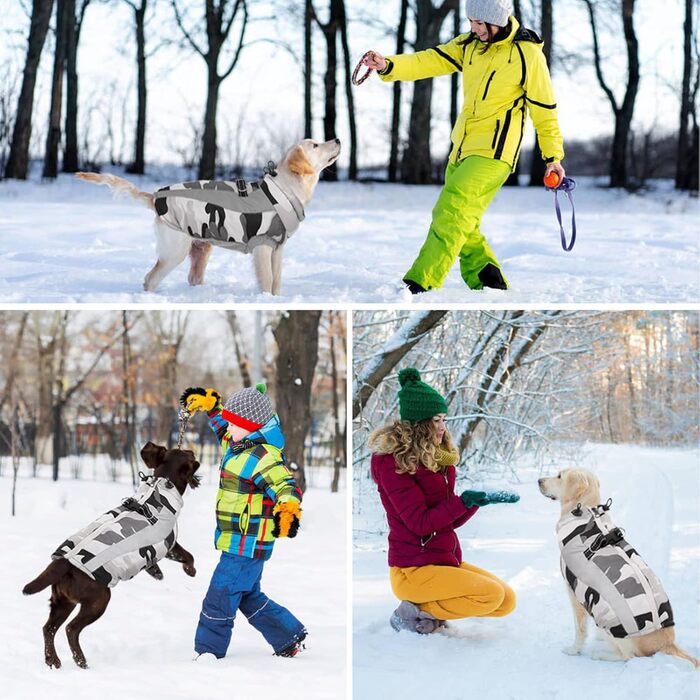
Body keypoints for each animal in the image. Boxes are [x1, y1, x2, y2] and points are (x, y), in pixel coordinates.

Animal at [23, 442, 201, 668]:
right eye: (190, 456)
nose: (193, 451)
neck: (161, 484)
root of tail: (65, 563)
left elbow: (154, 562)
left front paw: (157, 573)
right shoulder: (168, 542)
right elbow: (187, 555)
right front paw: (190, 570)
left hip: (63, 602)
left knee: (49, 628)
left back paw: (52, 660)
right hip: (99, 600)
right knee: (71, 629)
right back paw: (81, 661)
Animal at [75, 139, 340, 296]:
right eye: (316, 145)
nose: (337, 139)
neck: (284, 190)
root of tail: (155, 196)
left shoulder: (277, 248)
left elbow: (276, 282)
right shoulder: (262, 247)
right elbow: (266, 281)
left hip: (201, 247)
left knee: (192, 277)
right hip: (176, 249)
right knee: (150, 278)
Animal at [540, 468, 696, 664]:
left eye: (560, 476)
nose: (538, 480)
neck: (585, 512)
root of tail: (668, 643)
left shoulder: (574, 591)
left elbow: (579, 629)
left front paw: (573, 650)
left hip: (618, 628)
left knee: (627, 657)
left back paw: (600, 653)